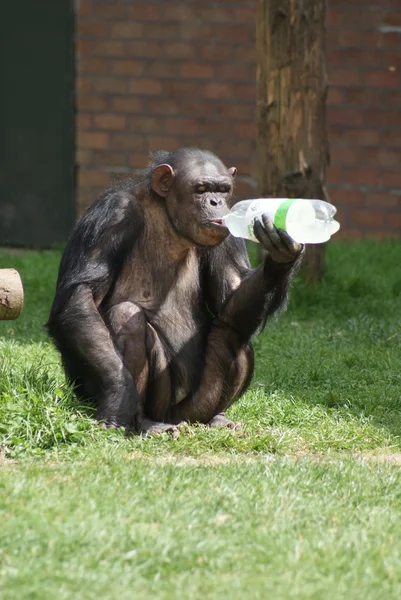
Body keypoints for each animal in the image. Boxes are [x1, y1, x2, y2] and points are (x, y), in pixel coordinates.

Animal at [47, 148, 302, 434]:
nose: (215, 202)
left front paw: (282, 253)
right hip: (157, 402)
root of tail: (178, 419)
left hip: (196, 405)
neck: (168, 217)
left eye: (223, 189)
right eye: (200, 189)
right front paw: (118, 396)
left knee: (233, 333)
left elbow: (230, 292)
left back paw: (218, 418)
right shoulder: (112, 216)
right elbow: (82, 295)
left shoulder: (225, 234)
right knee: (126, 317)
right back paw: (145, 423)